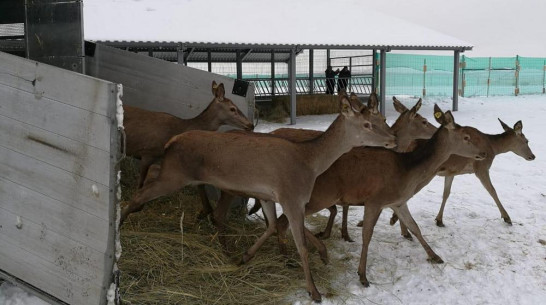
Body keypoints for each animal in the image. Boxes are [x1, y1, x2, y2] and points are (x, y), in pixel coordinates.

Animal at [118, 92, 396, 302]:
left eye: (380, 118)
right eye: (368, 124)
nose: (393, 139)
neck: (309, 164)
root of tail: (172, 140)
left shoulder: (267, 195)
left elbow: (272, 225)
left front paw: (244, 257)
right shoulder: (292, 196)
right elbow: (300, 245)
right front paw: (314, 290)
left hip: (173, 172)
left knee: (149, 178)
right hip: (174, 174)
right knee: (141, 191)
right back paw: (120, 223)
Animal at [270, 103, 486, 286]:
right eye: (466, 137)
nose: (483, 153)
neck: (407, 171)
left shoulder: (398, 202)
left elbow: (415, 227)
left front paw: (435, 256)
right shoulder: (375, 200)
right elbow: (367, 235)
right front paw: (362, 276)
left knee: (282, 221)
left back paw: (286, 257)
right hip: (315, 197)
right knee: (284, 221)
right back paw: (303, 254)